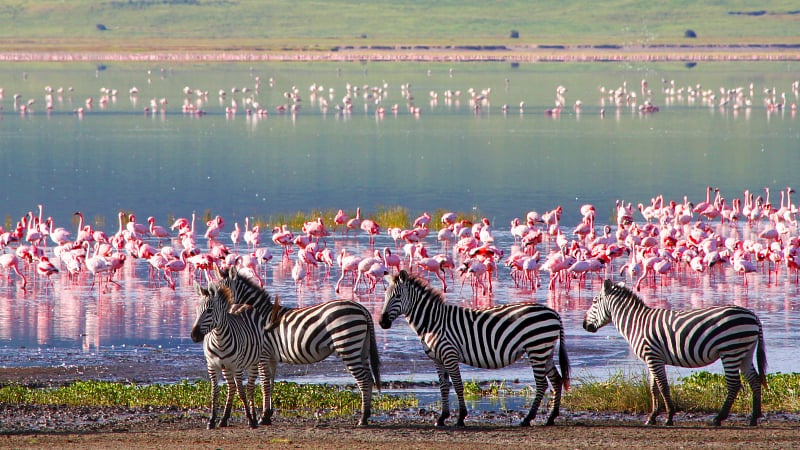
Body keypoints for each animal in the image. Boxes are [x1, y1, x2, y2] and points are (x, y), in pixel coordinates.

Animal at [191, 281, 267, 429]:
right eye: (196, 311)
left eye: (209, 311)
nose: (194, 336)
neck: (218, 339)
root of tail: (242, 304)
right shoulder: (212, 366)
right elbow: (214, 392)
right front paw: (212, 420)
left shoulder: (237, 367)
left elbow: (241, 392)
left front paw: (250, 419)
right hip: (226, 367)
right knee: (231, 388)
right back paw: (224, 419)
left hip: (254, 362)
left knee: (249, 388)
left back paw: (254, 418)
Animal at [216, 266, 381, 427]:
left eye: (222, 292)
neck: (259, 316)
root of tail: (362, 308)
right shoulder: (271, 357)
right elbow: (271, 382)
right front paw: (268, 415)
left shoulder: (263, 354)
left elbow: (264, 384)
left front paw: (263, 416)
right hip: (361, 348)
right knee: (369, 378)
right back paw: (366, 415)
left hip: (347, 345)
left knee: (363, 380)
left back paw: (363, 419)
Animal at [379, 270, 570, 427]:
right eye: (385, 295)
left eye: (397, 296)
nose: (381, 322)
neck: (432, 322)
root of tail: (553, 312)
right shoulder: (438, 359)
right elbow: (443, 387)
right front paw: (442, 417)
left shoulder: (449, 355)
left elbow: (457, 385)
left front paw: (461, 417)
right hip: (545, 350)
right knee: (556, 380)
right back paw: (551, 417)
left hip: (536, 348)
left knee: (542, 384)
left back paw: (528, 419)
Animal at [582, 279, 767, 426]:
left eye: (594, 301)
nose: (584, 325)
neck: (637, 323)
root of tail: (753, 315)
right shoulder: (652, 359)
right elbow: (653, 388)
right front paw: (652, 417)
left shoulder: (653, 357)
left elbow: (663, 387)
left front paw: (669, 417)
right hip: (744, 352)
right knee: (754, 380)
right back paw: (753, 418)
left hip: (730, 350)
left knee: (734, 384)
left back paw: (719, 418)